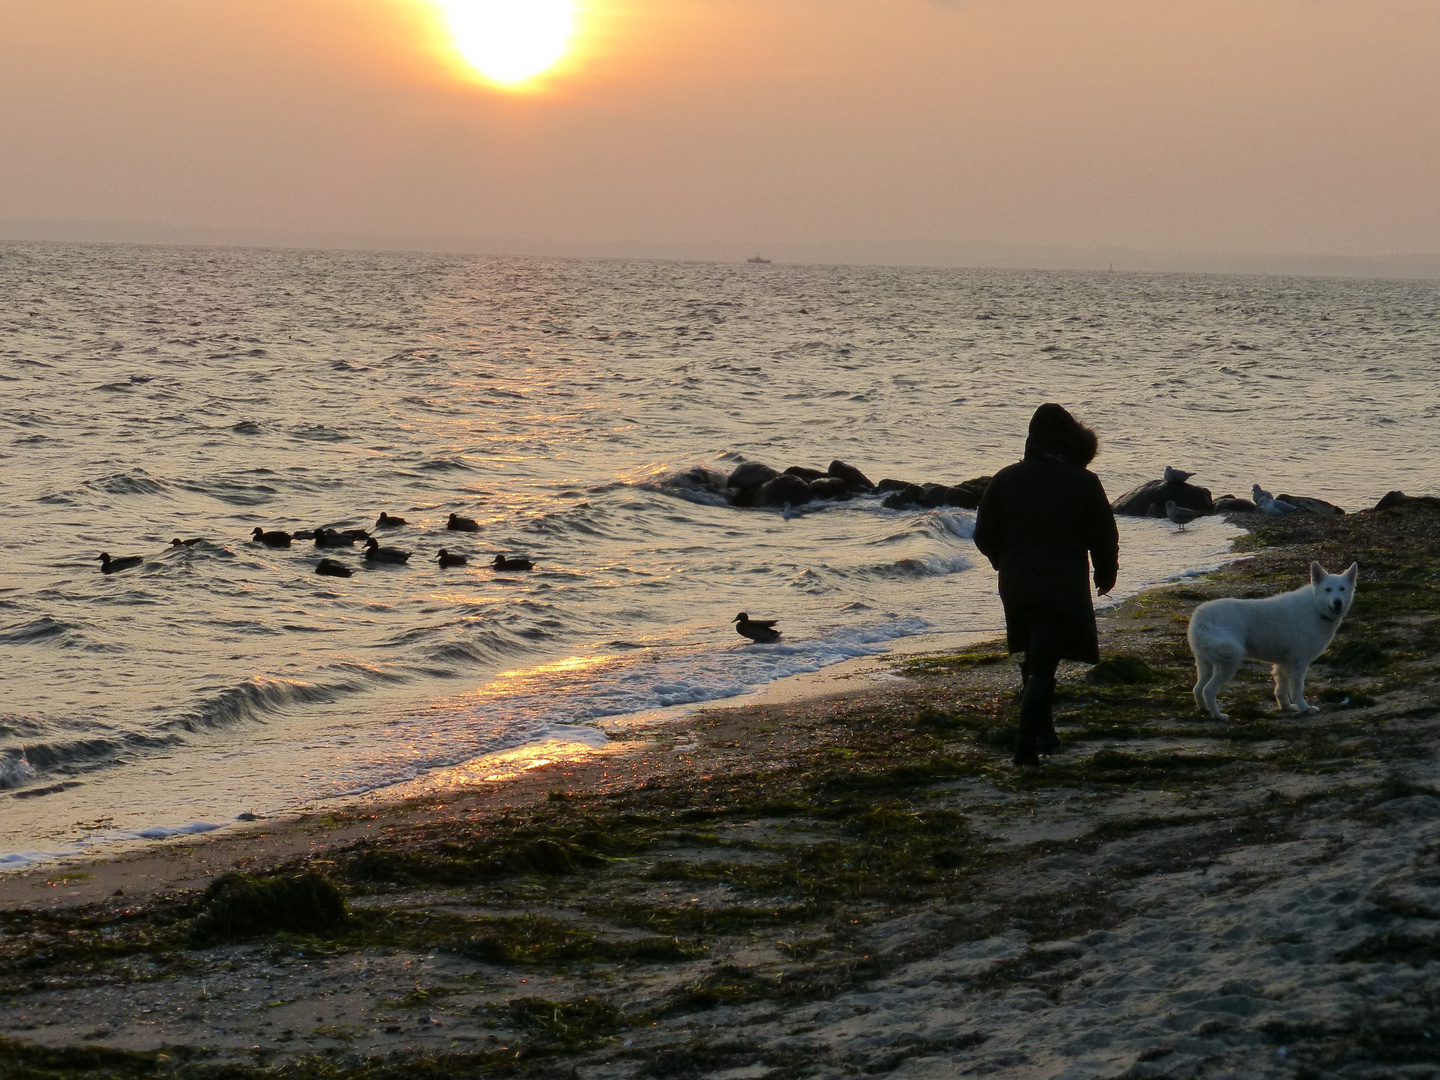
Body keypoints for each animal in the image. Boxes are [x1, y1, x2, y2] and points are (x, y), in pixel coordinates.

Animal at [1186, 561, 1353, 722]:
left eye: (1342, 589)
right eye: (1328, 589)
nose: (1338, 602)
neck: (1316, 607)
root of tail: (1200, 616)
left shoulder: (1284, 663)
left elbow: (1281, 689)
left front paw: (1286, 707)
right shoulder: (1298, 663)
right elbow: (1297, 690)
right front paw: (1305, 708)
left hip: (1205, 664)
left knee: (1197, 688)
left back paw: (1204, 710)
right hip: (1228, 661)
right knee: (1208, 690)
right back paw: (1218, 716)